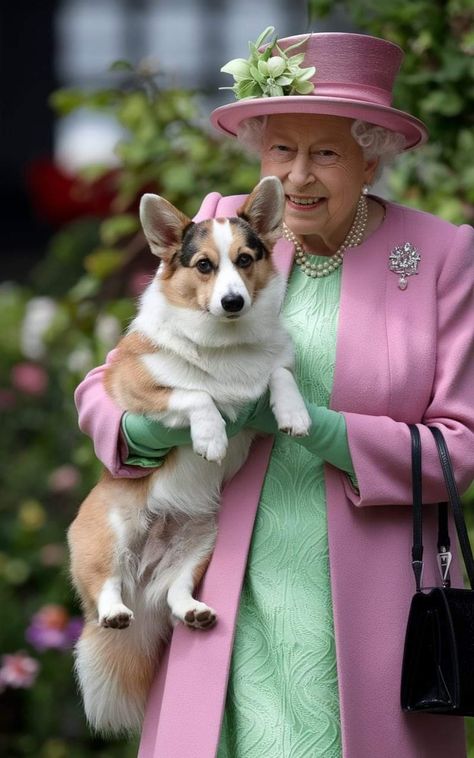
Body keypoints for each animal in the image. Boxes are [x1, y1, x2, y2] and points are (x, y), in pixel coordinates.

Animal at [67, 177, 312, 736]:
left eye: (245, 260)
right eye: (203, 265)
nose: (233, 301)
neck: (225, 343)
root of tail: (142, 582)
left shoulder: (268, 378)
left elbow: (278, 373)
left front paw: (293, 413)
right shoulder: (136, 385)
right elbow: (194, 392)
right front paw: (211, 437)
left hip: (201, 545)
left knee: (176, 593)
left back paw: (193, 610)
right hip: (108, 535)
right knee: (105, 585)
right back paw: (114, 611)